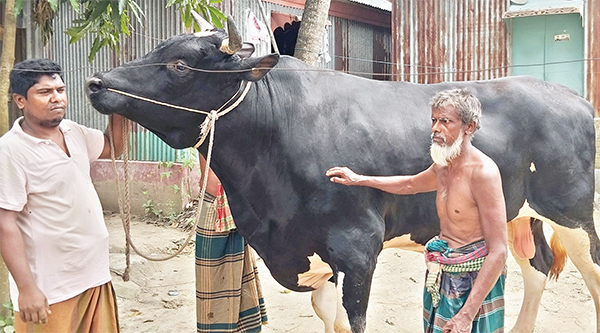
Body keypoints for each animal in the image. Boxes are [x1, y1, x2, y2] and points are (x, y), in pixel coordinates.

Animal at [85, 29, 600, 330]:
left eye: (179, 65)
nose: (94, 83)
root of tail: (572, 98)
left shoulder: (356, 247)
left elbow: (353, 320)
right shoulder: (314, 252)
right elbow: (327, 316)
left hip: (573, 213)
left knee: (591, 273)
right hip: (517, 213)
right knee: (536, 270)